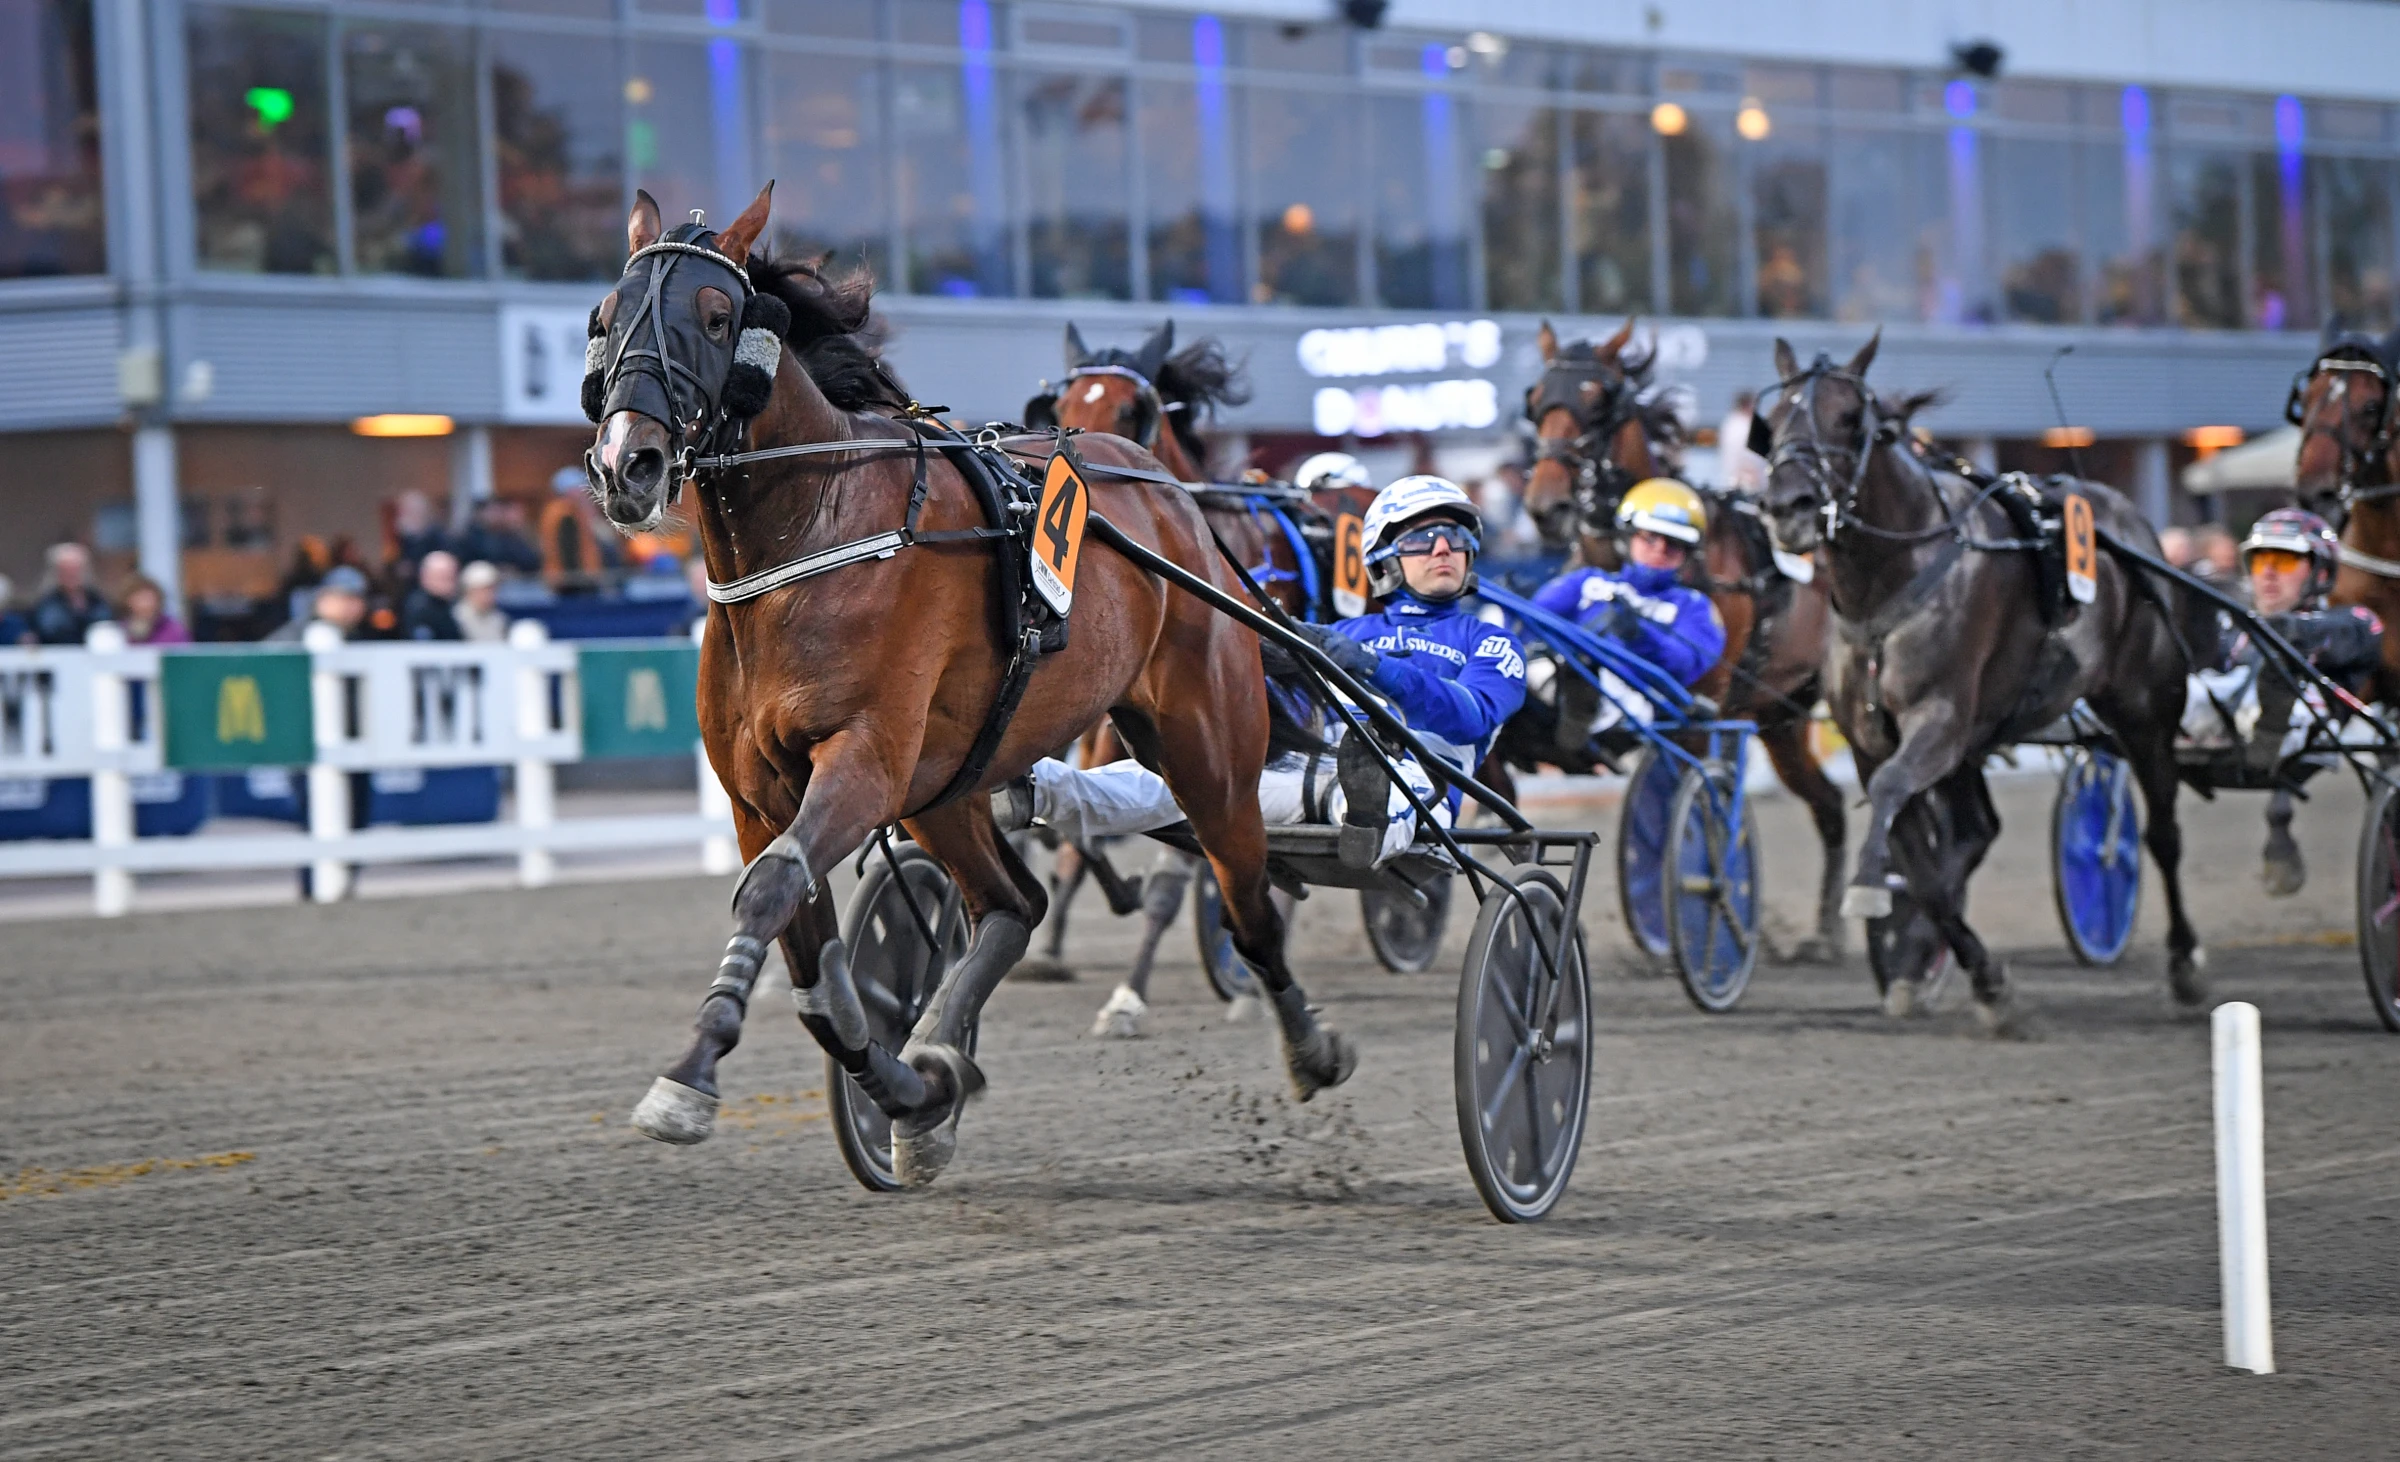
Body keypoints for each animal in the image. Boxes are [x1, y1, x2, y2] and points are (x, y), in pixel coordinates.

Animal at [590, 184, 1363, 1185]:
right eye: (606, 317)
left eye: (718, 317)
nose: (626, 464)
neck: (814, 533)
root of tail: (1172, 498)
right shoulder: (758, 794)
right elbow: (815, 971)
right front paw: (912, 1089)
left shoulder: (864, 762)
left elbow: (770, 891)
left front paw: (690, 1073)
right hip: (952, 784)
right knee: (1012, 903)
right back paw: (937, 1060)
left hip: (1207, 745)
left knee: (1248, 903)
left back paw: (1310, 1045)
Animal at [1516, 316, 1852, 960]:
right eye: (1536, 400)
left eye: (1597, 400)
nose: (1547, 506)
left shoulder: (1704, 705)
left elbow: (1695, 806)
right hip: (1782, 718)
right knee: (1829, 806)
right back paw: (1826, 932)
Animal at [1756, 331, 2198, 1027]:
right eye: (1772, 421)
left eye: (1848, 418)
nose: (1787, 507)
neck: (1891, 574)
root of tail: (2130, 522)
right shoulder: (1875, 740)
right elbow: (1922, 864)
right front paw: (1965, 972)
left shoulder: (1938, 720)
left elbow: (1892, 797)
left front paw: (1875, 897)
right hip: (1976, 741)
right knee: (1974, 831)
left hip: (2145, 710)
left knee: (2162, 833)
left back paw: (2184, 964)